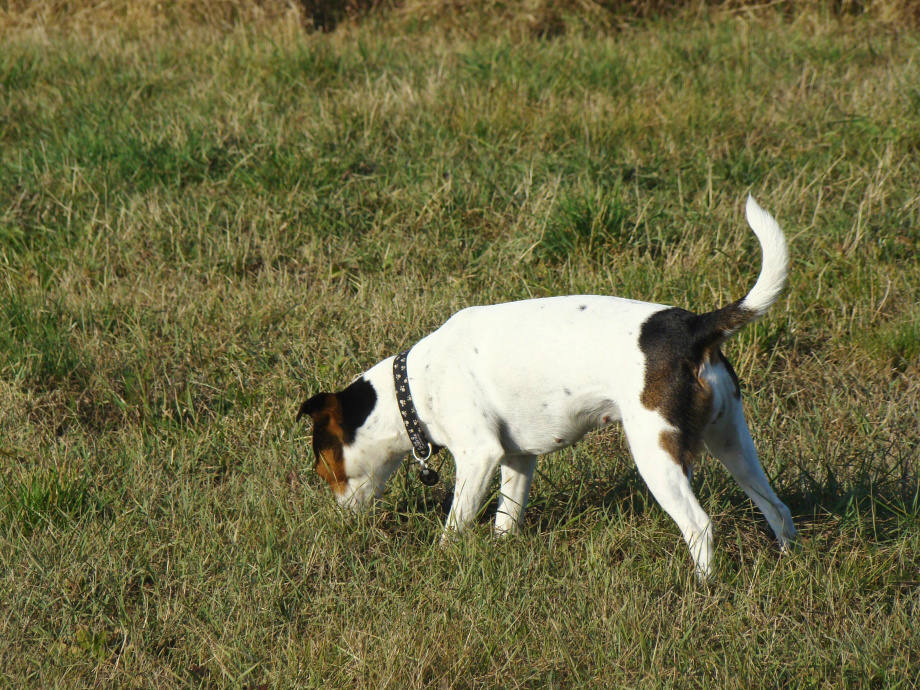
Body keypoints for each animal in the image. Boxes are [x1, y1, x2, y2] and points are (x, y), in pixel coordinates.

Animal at [298, 196, 797, 578]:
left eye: (324, 465)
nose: (339, 521)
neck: (414, 388)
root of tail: (694, 328)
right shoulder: (517, 459)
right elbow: (506, 516)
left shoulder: (479, 455)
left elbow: (455, 523)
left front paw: (441, 561)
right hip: (731, 442)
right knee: (779, 510)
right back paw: (789, 562)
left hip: (656, 452)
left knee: (700, 525)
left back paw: (701, 587)